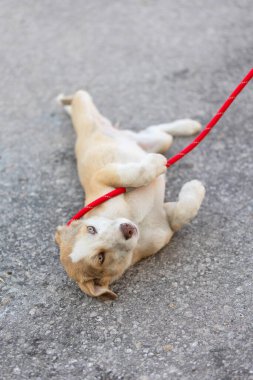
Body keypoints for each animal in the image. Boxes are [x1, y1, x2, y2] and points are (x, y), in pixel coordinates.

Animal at [55, 92, 206, 300]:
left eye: (91, 229)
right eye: (101, 258)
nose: (127, 229)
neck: (136, 221)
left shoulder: (102, 178)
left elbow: (132, 174)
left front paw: (156, 165)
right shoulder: (167, 223)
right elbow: (183, 213)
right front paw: (195, 187)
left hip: (87, 113)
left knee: (80, 95)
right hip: (154, 140)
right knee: (158, 132)